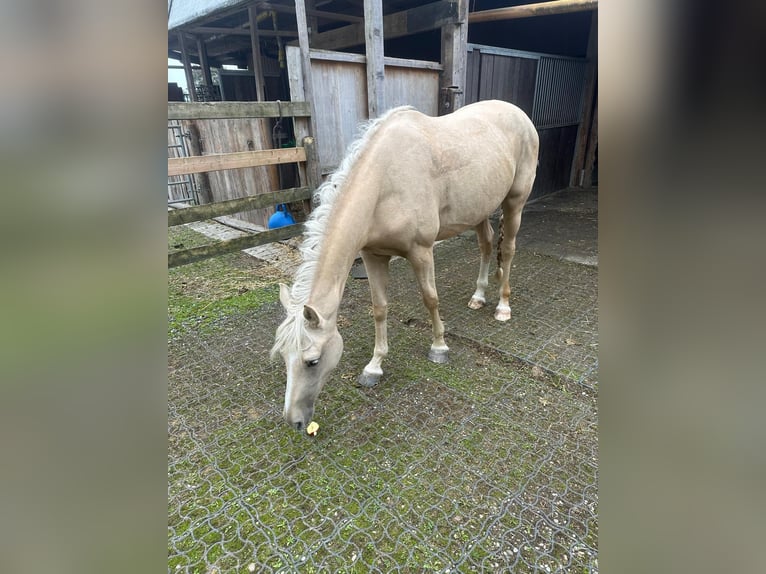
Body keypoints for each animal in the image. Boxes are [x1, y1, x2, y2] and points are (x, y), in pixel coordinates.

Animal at [271, 100, 539, 431]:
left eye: (313, 361)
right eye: (284, 357)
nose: (295, 421)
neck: (384, 183)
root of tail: (519, 114)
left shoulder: (421, 251)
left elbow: (430, 299)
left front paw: (439, 347)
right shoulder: (373, 256)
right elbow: (380, 309)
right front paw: (374, 367)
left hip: (515, 202)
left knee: (509, 250)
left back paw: (503, 306)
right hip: (479, 208)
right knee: (487, 246)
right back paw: (478, 297)